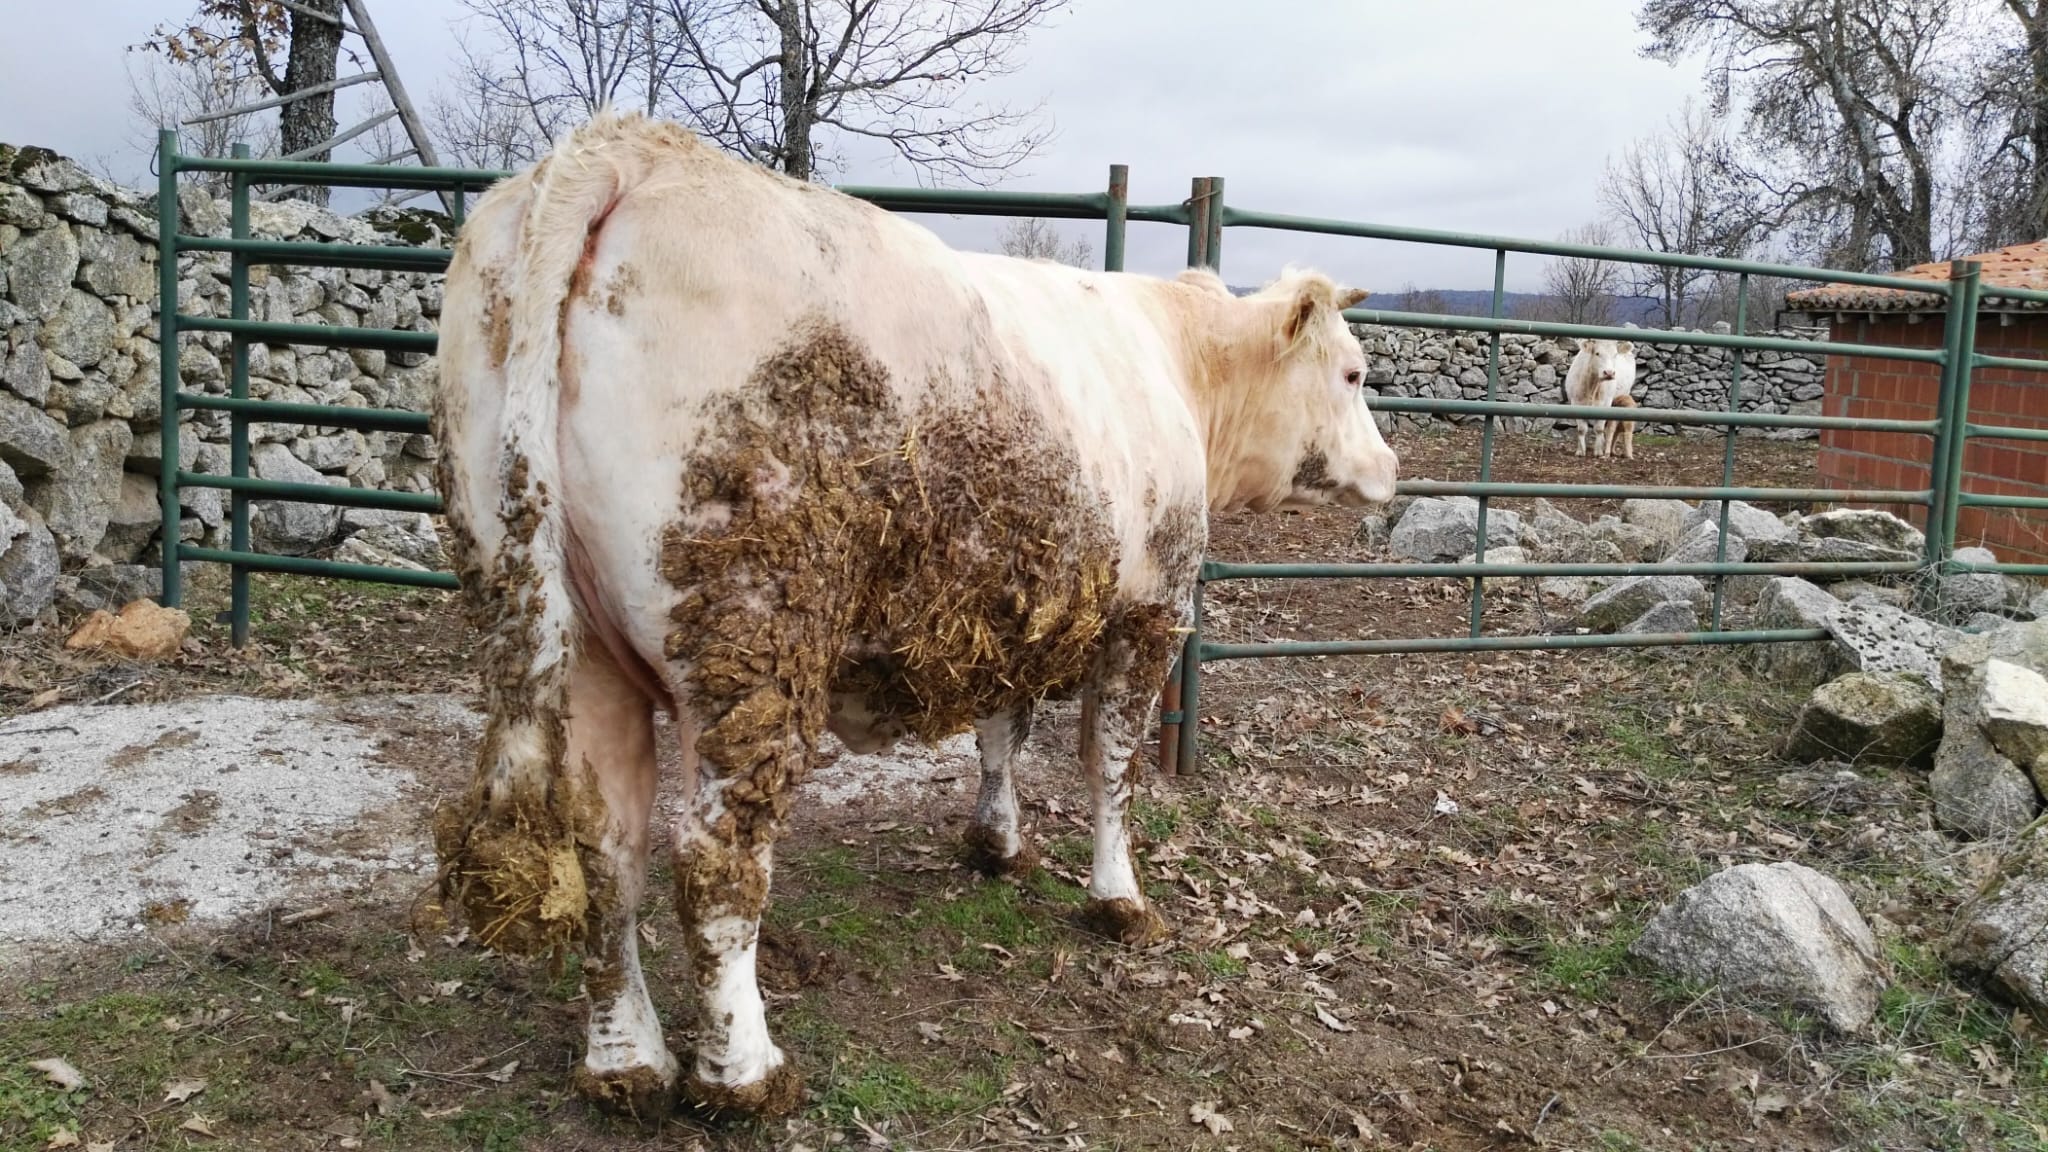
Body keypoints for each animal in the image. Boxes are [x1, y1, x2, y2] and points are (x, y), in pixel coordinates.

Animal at [428, 109, 1399, 1121]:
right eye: (1353, 373)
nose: (1393, 468)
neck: (1174, 364)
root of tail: (624, 150)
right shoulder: (1151, 610)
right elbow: (1112, 765)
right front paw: (1118, 898)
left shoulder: (1016, 606)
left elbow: (1002, 733)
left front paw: (995, 843)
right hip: (747, 635)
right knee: (714, 859)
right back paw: (745, 1073)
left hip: (566, 639)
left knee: (604, 848)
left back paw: (626, 1064)